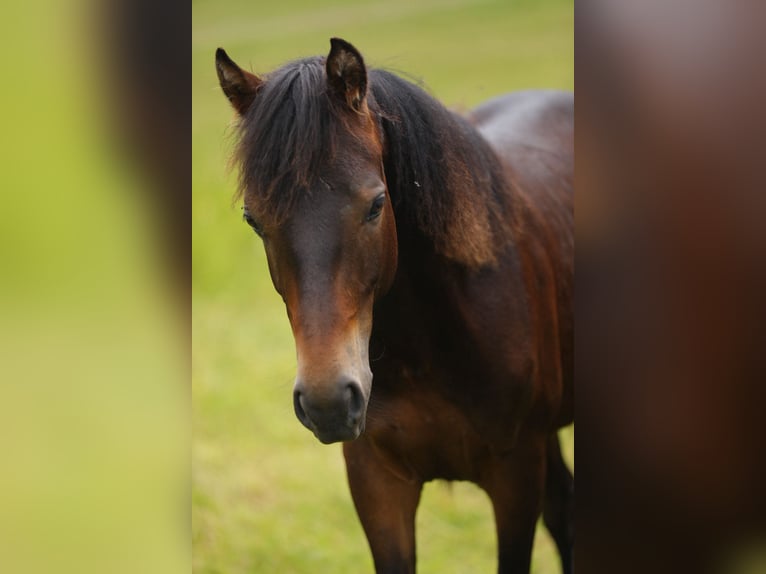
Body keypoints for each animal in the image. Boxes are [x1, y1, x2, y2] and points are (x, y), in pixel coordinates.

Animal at [216, 38, 573, 574]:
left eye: (376, 204)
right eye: (253, 219)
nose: (327, 402)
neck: (428, 347)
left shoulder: (515, 476)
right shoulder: (377, 483)